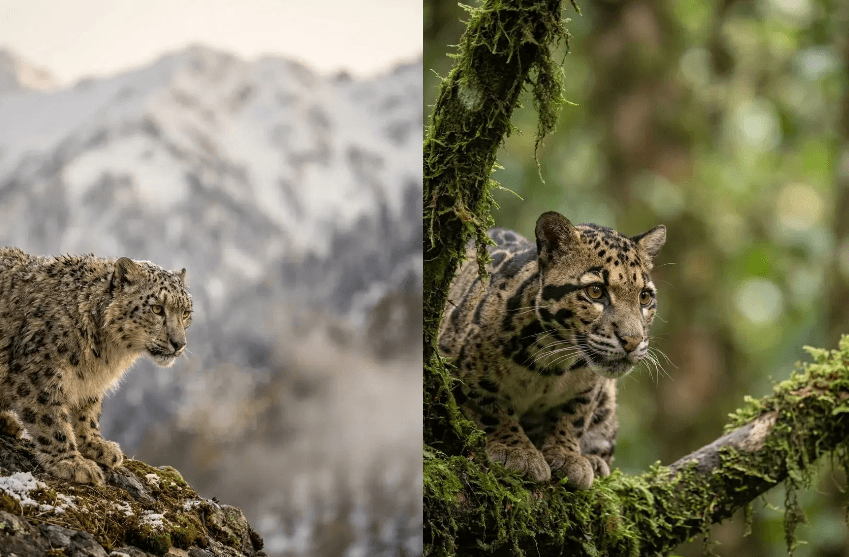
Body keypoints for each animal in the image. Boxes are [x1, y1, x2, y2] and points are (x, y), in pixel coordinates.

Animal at [0, 247, 192, 485]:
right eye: (157, 309)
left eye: (186, 313)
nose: (179, 344)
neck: (106, 356)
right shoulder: (38, 373)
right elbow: (51, 419)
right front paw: (71, 463)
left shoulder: (90, 381)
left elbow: (88, 410)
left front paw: (95, 445)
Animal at [438, 211, 666, 489]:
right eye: (596, 291)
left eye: (644, 297)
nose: (632, 341)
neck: (553, 360)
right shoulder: (462, 369)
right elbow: (491, 409)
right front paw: (516, 451)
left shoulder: (590, 389)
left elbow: (573, 417)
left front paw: (567, 454)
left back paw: (595, 461)